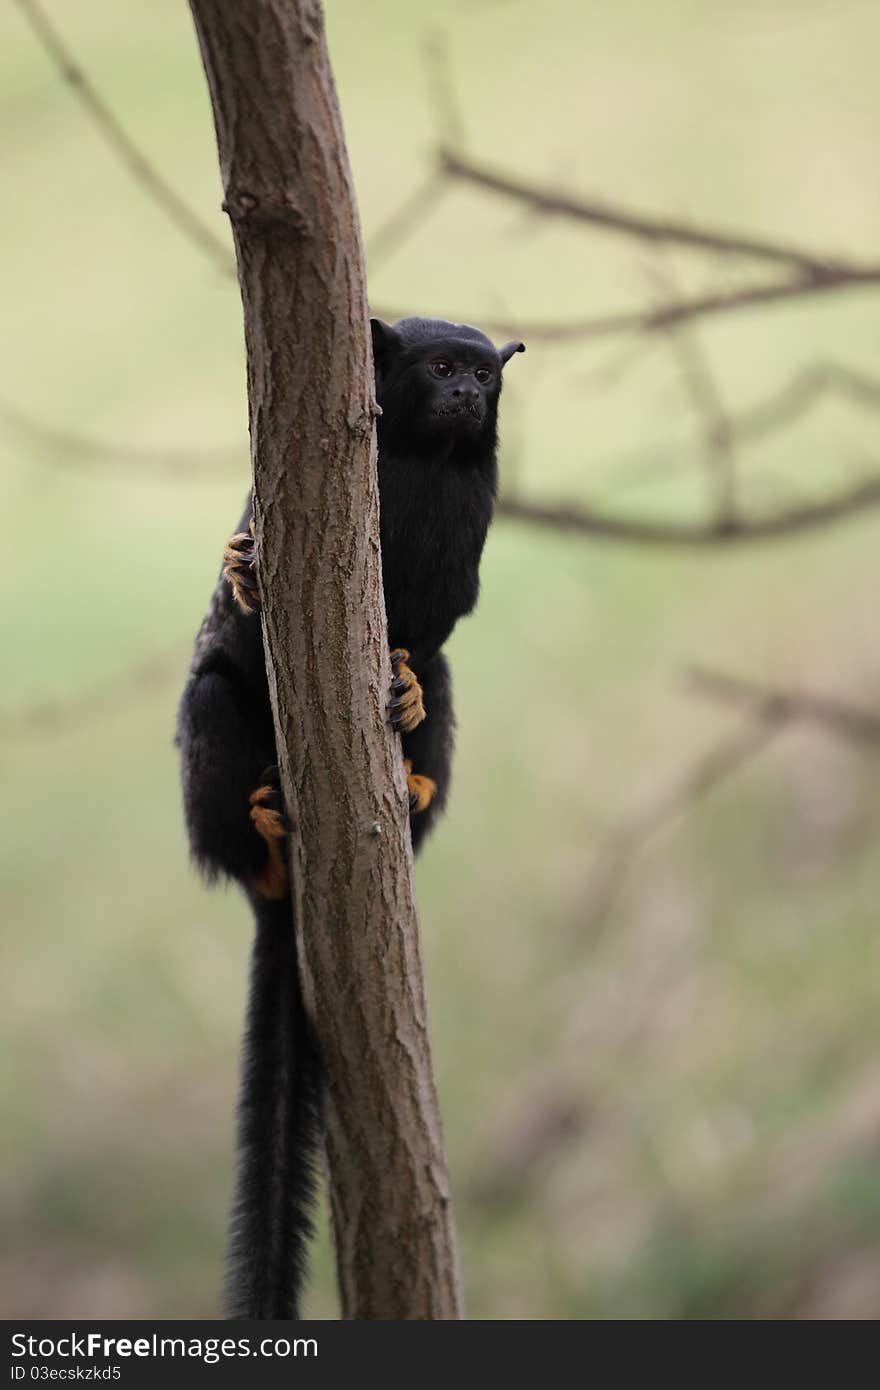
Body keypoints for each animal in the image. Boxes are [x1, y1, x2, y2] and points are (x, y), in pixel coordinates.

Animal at [175, 315, 525, 1312]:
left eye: (485, 376)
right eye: (439, 369)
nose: (468, 396)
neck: (419, 462)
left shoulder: (464, 531)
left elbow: (436, 629)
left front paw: (403, 689)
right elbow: (241, 583)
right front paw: (247, 581)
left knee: (439, 678)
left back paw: (409, 772)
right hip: (215, 750)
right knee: (212, 702)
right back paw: (260, 836)